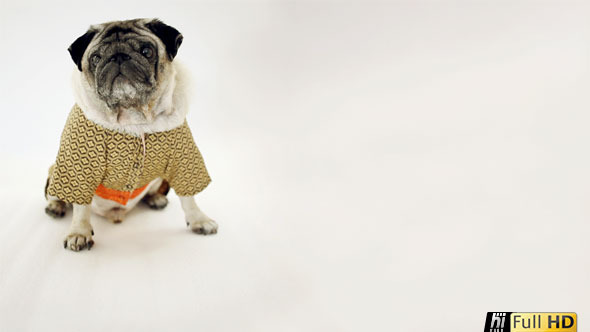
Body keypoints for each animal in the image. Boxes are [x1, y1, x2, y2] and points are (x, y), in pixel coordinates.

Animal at [44, 18, 219, 252]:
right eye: (96, 58)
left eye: (147, 51)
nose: (118, 57)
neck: (133, 119)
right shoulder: (79, 165)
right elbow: (80, 206)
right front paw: (79, 233)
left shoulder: (181, 158)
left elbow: (188, 196)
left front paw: (199, 219)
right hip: (55, 170)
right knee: (58, 194)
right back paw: (55, 206)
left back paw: (155, 199)